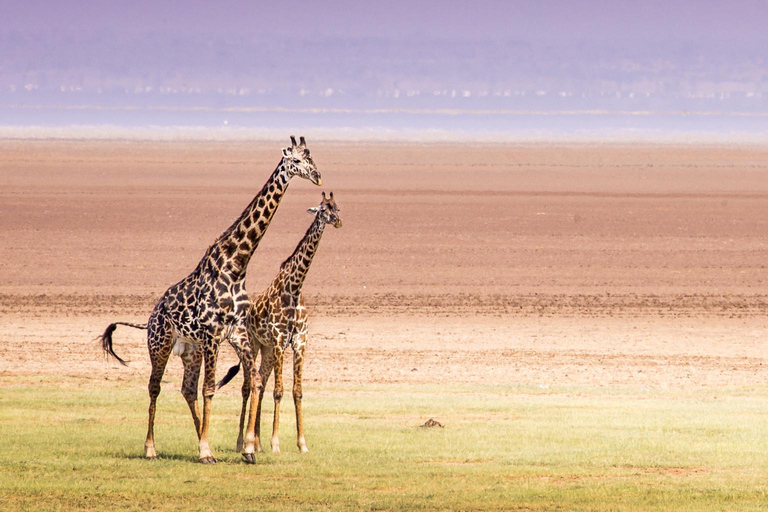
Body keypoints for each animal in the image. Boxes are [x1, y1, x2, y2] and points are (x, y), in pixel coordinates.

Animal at [100, 136, 320, 464]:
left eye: (312, 158)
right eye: (295, 160)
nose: (317, 176)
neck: (236, 264)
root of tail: (151, 316)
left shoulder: (237, 333)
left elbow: (252, 382)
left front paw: (248, 449)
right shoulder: (213, 334)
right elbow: (210, 389)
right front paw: (207, 450)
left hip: (191, 350)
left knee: (187, 389)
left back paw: (200, 441)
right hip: (160, 343)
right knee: (155, 387)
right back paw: (152, 448)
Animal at [220, 191, 344, 452]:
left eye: (337, 207)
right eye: (323, 209)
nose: (338, 221)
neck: (295, 288)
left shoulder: (299, 343)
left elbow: (297, 391)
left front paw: (302, 444)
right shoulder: (279, 341)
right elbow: (279, 391)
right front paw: (275, 443)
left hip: (267, 350)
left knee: (261, 384)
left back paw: (256, 443)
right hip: (254, 345)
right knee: (248, 386)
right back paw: (242, 442)